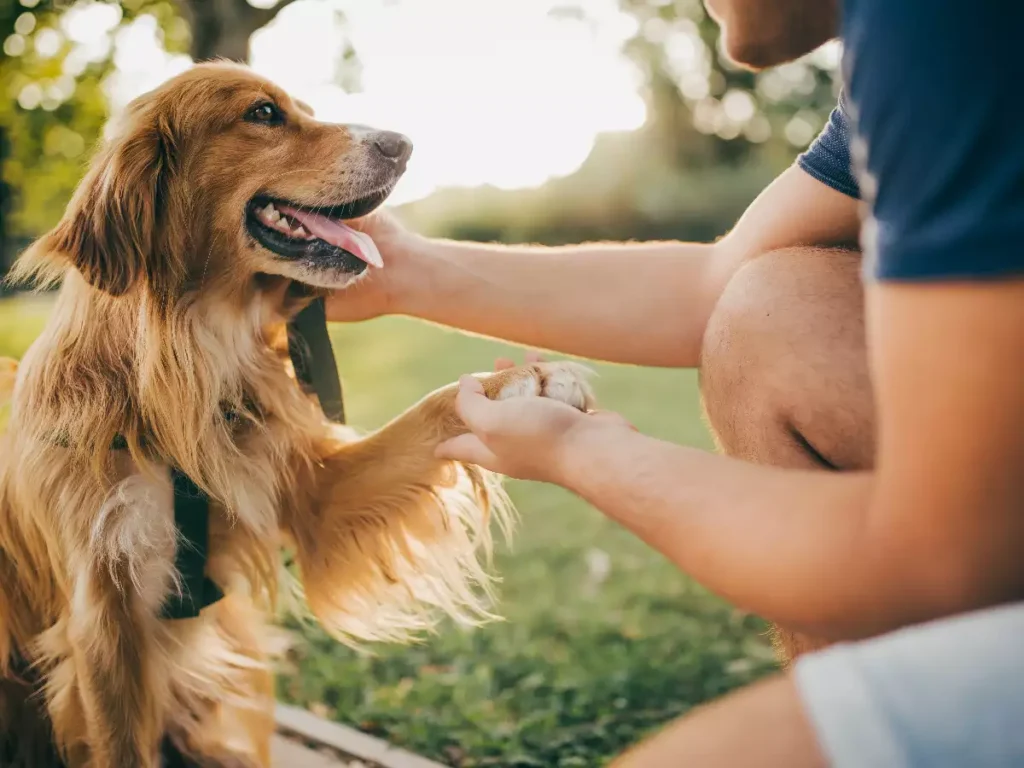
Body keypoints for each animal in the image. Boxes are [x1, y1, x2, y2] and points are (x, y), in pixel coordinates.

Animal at [0, 64, 593, 768]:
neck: (184, 372)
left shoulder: (308, 492)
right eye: (263, 113)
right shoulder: (104, 622)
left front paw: (522, 384)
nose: (403, 144)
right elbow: (122, 745)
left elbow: (427, 414)